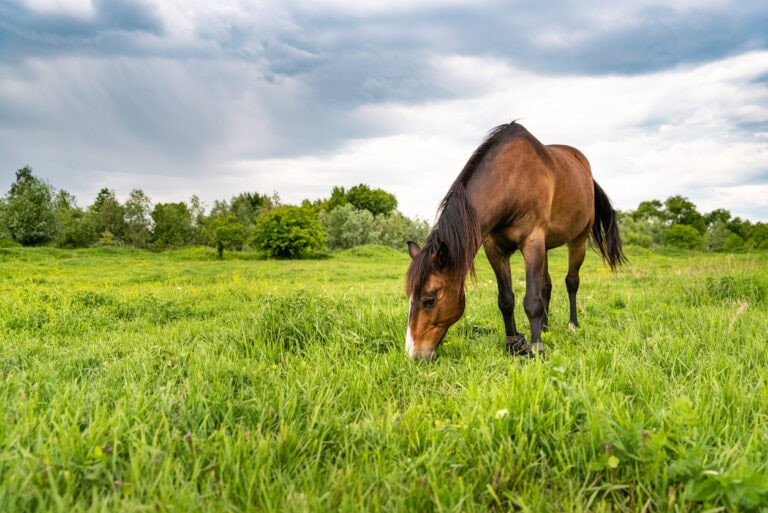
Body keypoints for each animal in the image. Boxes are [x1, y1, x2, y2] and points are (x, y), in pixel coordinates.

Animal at [405, 121, 626, 360]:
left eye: (429, 299)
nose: (413, 354)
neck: (511, 181)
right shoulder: (495, 249)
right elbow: (506, 299)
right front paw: (514, 344)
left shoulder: (532, 243)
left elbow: (531, 302)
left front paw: (536, 349)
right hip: (546, 246)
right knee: (546, 285)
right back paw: (545, 329)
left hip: (578, 240)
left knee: (571, 282)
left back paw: (572, 325)